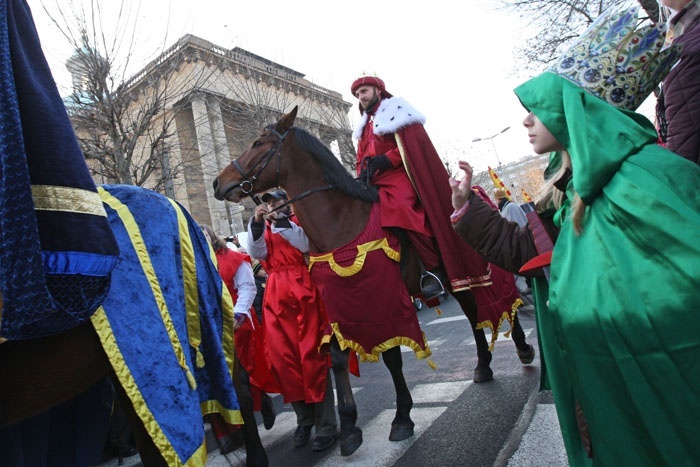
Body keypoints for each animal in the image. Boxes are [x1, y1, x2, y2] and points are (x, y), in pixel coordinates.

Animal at [211, 106, 532, 458]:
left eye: (258, 142)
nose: (218, 182)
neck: (342, 222)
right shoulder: (338, 307)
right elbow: (338, 358)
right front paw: (350, 427)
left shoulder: (385, 300)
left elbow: (391, 356)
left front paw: (402, 417)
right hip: (452, 277)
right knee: (473, 311)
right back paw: (483, 365)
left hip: (474, 265)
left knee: (498, 302)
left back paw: (523, 349)